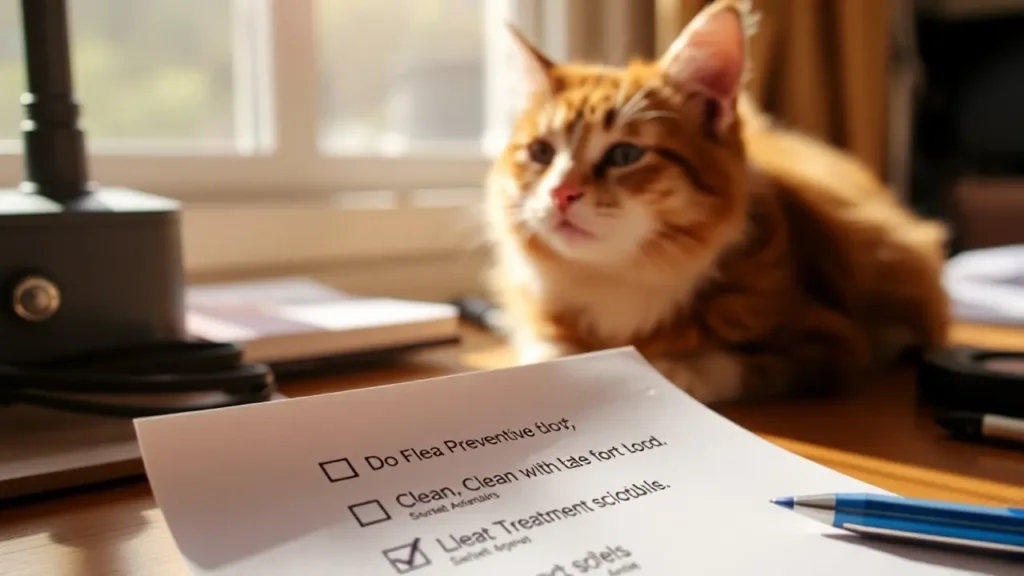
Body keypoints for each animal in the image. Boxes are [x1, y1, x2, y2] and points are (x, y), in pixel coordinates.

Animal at [483, 0, 946, 403]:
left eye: (625, 155)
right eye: (542, 152)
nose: (560, 193)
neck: (619, 277)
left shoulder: (827, 341)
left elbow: (726, 363)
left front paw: (668, 371)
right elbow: (548, 348)